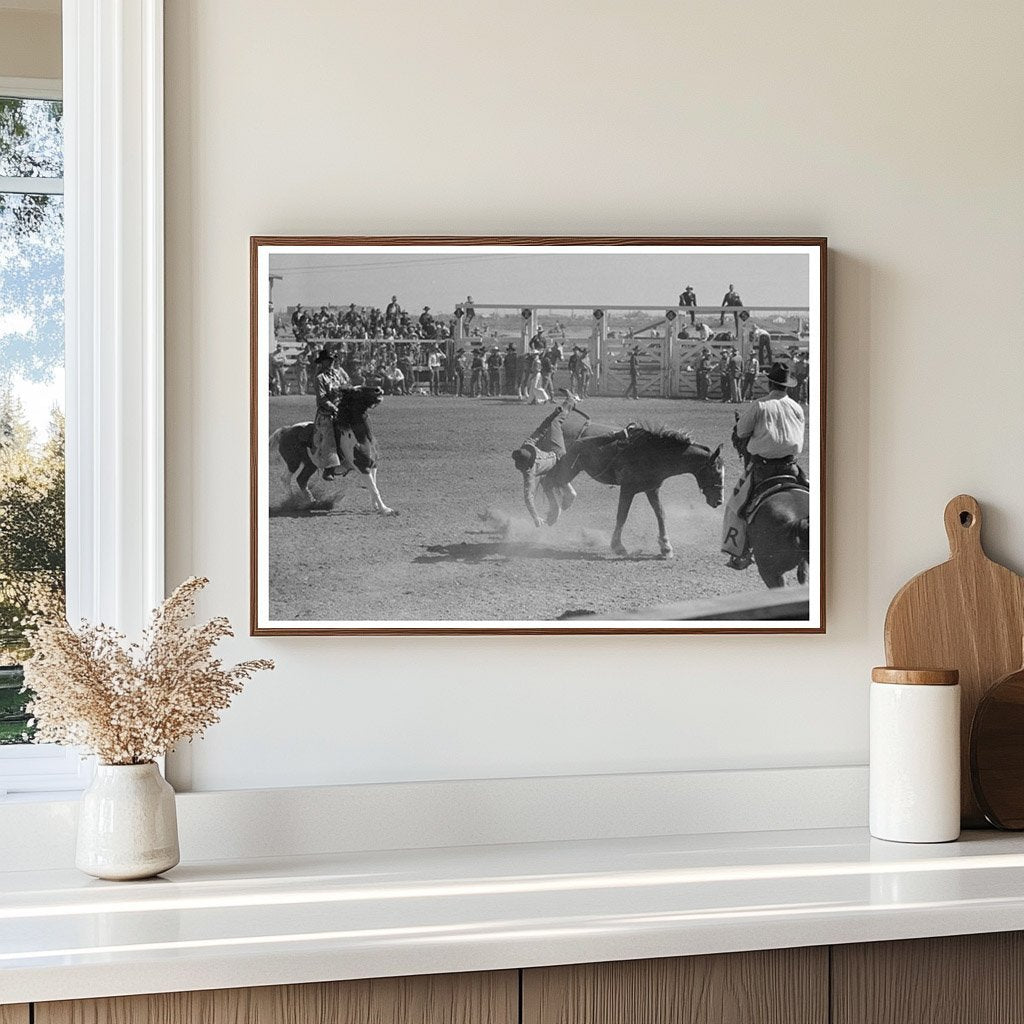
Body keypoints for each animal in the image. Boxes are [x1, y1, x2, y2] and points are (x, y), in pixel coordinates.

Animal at [268, 385, 395, 516]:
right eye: (357, 390)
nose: (378, 389)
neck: (360, 438)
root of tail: (286, 430)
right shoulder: (363, 467)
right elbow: (374, 489)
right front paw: (386, 510)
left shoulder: (373, 465)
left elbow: (373, 486)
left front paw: (377, 507)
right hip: (293, 462)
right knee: (286, 479)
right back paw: (292, 501)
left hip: (310, 465)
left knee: (301, 479)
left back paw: (311, 501)